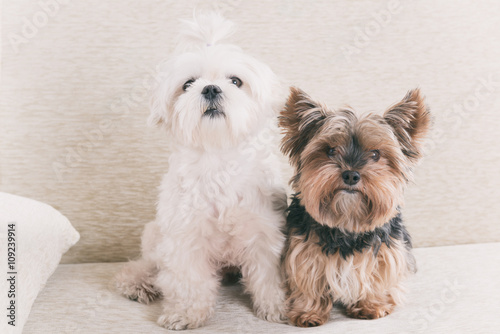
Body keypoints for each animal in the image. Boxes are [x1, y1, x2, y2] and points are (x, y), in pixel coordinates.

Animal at [114, 12, 286, 328]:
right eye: (188, 84)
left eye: (235, 81)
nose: (211, 88)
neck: (217, 158)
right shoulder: (184, 236)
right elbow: (188, 280)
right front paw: (185, 313)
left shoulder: (264, 229)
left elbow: (268, 276)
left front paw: (279, 307)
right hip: (155, 234)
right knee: (149, 265)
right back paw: (137, 282)